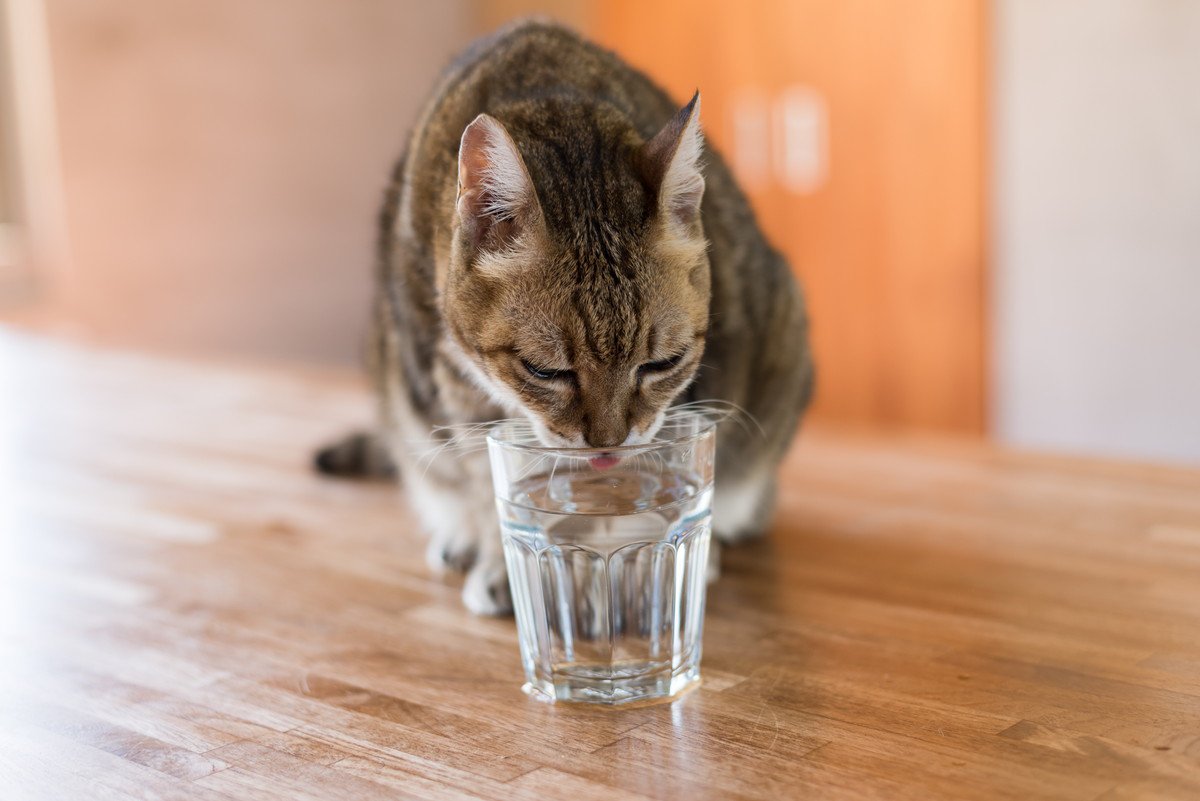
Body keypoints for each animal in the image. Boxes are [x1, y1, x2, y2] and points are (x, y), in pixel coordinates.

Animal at [314, 21, 816, 618]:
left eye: (663, 363)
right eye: (545, 370)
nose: (608, 445)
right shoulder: (453, 389)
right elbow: (492, 485)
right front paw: (512, 564)